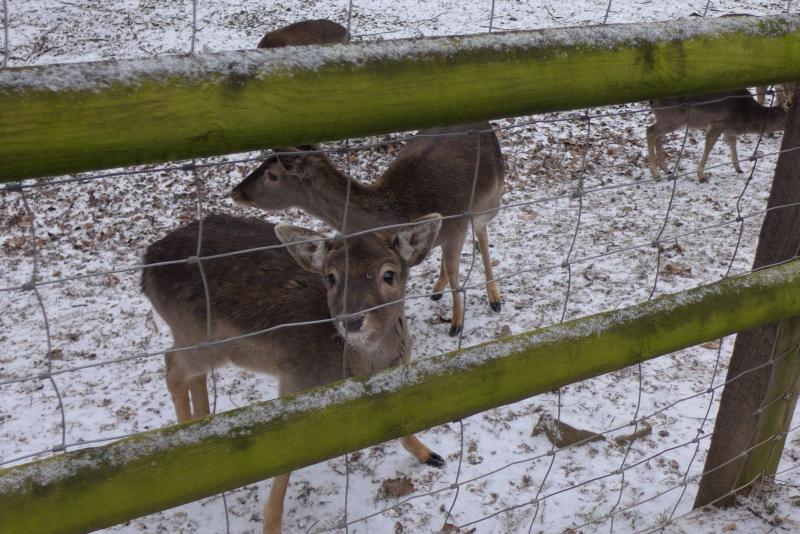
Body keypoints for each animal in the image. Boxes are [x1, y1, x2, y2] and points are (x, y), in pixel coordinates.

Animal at [142, 212, 445, 534]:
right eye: (331, 277)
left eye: (389, 274)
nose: (351, 320)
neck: (357, 369)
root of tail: (146, 266)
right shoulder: (295, 381)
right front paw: (271, 525)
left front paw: (430, 455)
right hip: (196, 335)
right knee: (172, 366)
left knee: (191, 374)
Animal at [231, 123, 505, 337]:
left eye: (272, 175)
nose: (235, 192)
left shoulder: (456, 227)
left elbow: (456, 273)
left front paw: (456, 325)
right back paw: (437, 291)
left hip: (490, 200)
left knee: (482, 234)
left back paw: (494, 298)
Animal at [647, 89, 787, 182]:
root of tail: (651, 100)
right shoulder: (718, 124)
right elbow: (709, 145)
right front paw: (701, 176)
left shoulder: (729, 130)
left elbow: (732, 143)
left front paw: (739, 168)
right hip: (673, 118)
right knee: (650, 131)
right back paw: (656, 174)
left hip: (666, 118)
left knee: (658, 136)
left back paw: (666, 169)